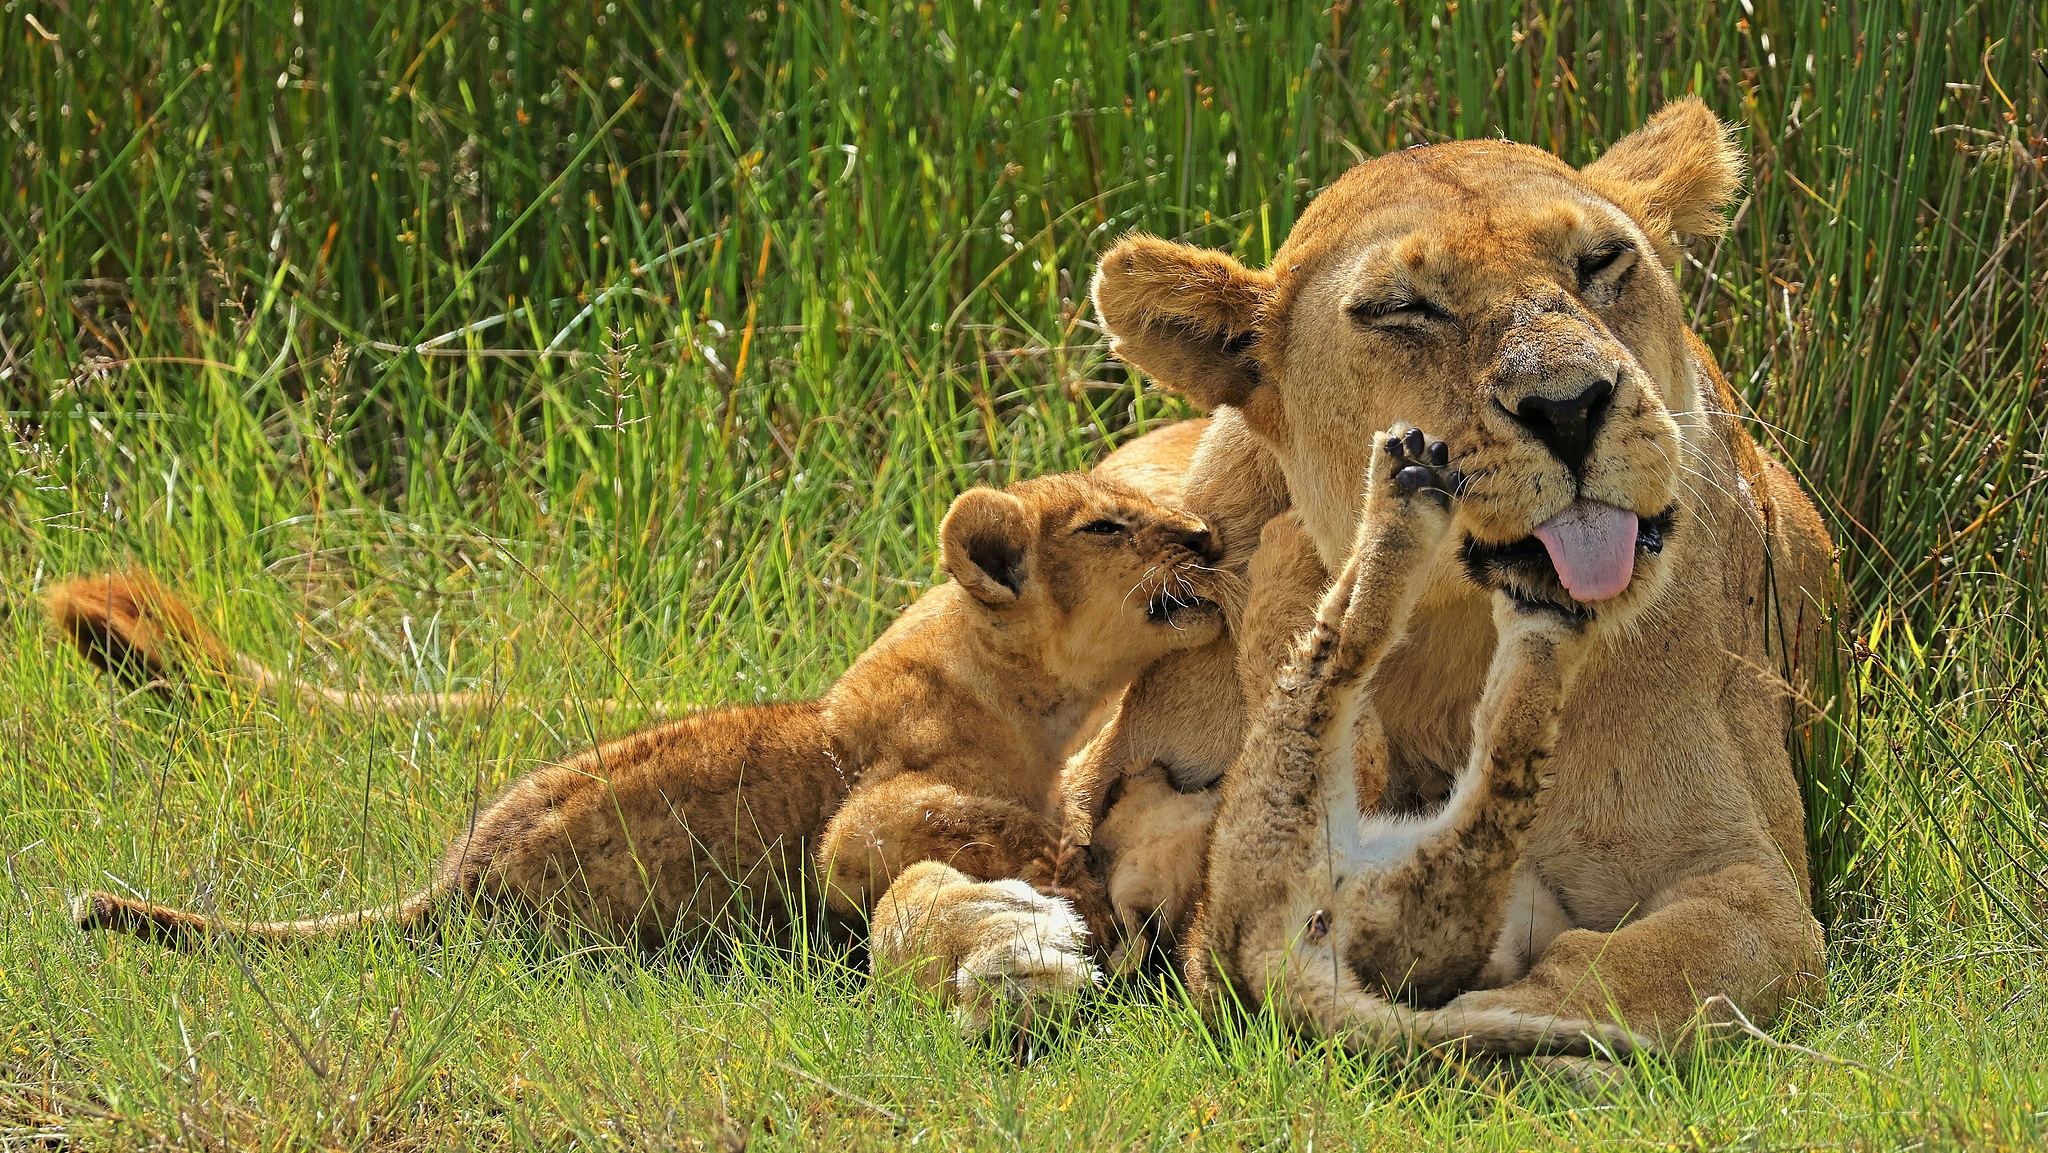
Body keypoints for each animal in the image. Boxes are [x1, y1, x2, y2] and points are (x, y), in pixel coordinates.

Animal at [67, 470, 1230, 1027]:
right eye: (1107, 527)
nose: (1209, 537)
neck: (1024, 697)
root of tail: (451, 883)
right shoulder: (858, 822)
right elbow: (989, 825)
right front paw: (1078, 888)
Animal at [1065, 96, 1836, 1059]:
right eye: (1404, 308)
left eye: (1601, 261)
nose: (1569, 406)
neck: (1450, 637)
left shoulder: (1750, 878)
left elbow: (1621, 975)